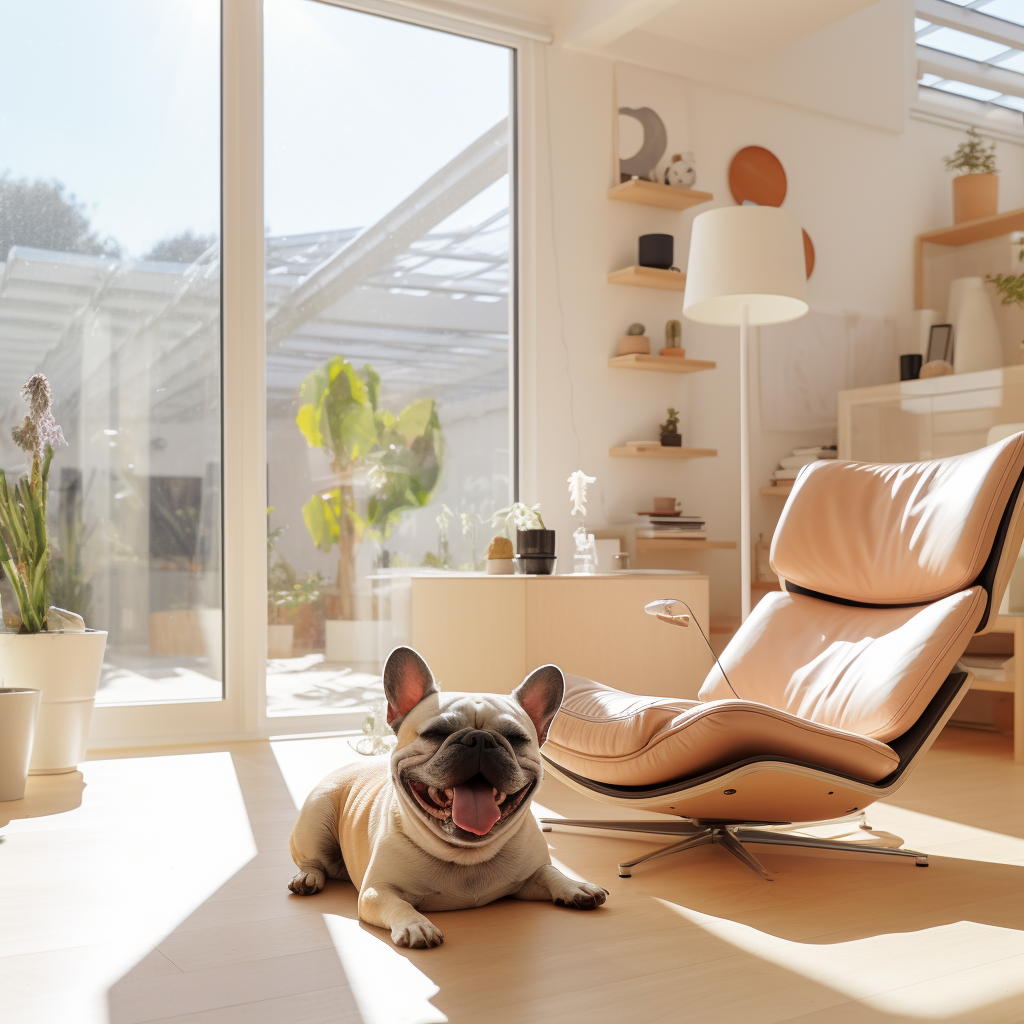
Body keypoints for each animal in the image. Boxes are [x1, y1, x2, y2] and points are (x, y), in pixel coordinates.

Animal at [286, 643, 606, 946]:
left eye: (516, 738)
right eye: (437, 733)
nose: (481, 739)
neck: (466, 856)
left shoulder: (530, 876)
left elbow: (549, 872)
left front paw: (576, 886)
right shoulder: (376, 890)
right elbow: (398, 904)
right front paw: (416, 925)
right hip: (316, 819)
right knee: (312, 861)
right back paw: (307, 878)